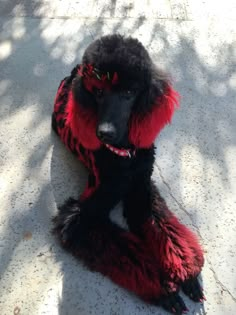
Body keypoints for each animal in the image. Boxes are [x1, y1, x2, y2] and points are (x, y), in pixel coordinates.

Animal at [52, 33, 205, 314]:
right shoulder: (81, 215)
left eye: (129, 93)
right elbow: (123, 250)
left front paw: (185, 272)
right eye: (98, 92)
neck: (124, 155)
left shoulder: (142, 188)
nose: (104, 133)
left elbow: (163, 228)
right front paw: (165, 288)